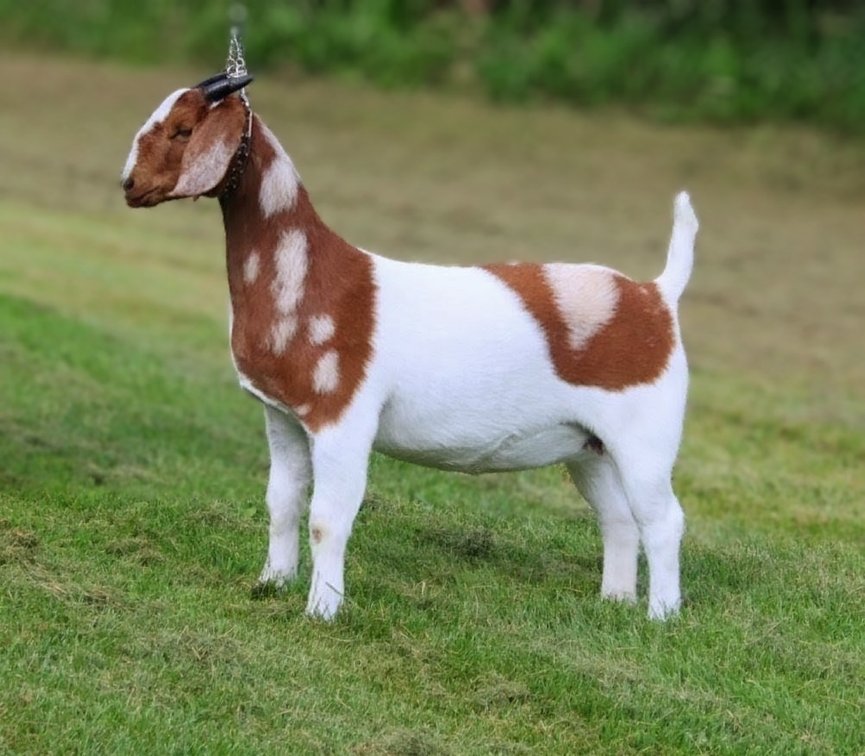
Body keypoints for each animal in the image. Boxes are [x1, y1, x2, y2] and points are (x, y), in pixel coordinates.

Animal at [121, 73, 698, 621]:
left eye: (183, 129)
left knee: (663, 520)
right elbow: (282, 502)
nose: (129, 185)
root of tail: (656, 295)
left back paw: (660, 617)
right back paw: (615, 602)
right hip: (589, 447)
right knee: (620, 518)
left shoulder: (343, 418)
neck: (313, 275)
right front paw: (271, 584)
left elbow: (327, 519)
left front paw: (322, 611)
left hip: (645, 438)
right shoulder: (283, 416)